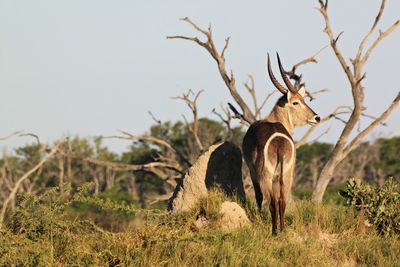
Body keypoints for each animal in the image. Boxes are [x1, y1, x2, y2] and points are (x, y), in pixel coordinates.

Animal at [242, 52, 320, 234]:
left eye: (303, 100)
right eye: (296, 102)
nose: (317, 117)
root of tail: (278, 140)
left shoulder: (253, 171)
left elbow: (259, 197)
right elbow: (278, 201)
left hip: (267, 174)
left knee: (270, 201)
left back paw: (274, 231)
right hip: (287, 174)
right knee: (282, 201)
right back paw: (282, 230)